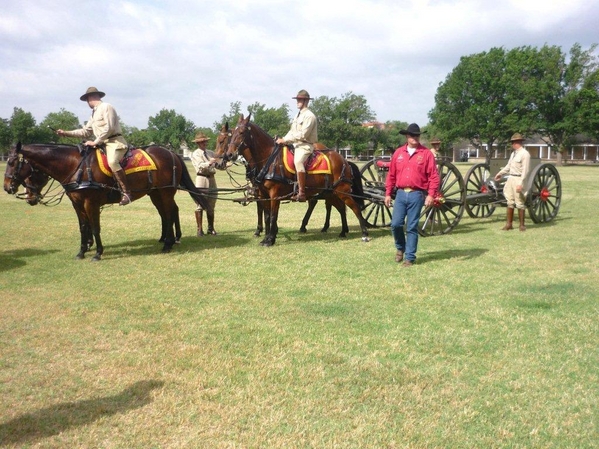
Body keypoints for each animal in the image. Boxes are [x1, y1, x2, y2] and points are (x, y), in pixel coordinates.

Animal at [2, 142, 211, 258]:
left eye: (12, 162)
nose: (7, 187)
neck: (76, 166)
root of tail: (172, 153)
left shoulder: (90, 203)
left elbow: (95, 227)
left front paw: (97, 252)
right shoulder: (77, 203)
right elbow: (83, 227)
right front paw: (82, 250)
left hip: (165, 192)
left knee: (169, 212)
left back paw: (169, 243)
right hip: (155, 193)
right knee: (166, 214)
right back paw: (167, 239)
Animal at [219, 113, 370, 245]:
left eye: (242, 132)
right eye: (232, 134)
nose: (229, 155)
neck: (269, 159)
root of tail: (344, 160)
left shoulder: (274, 194)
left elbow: (273, 216)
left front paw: (270, 239)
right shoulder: (263, 194)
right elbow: (267, 216)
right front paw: (266, 237)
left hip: (341, 190)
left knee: (355, 207)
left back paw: (364, 233)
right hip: (331, 192)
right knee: (341, 207)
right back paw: (343, 231)